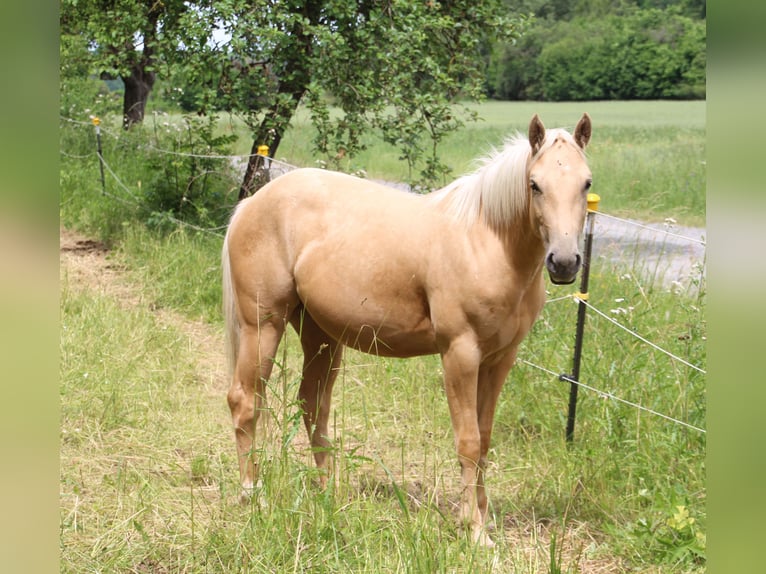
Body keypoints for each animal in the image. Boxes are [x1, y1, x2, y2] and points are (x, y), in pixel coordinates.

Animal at [222, 115, 592, 548]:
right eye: (535, 184)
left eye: (586, 183)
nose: (564, 262)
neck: (483, 242)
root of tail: (252, 203)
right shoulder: (460, 354)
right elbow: (468, 442)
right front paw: (474, 531)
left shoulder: (500, 359)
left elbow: (483, 438)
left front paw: (482, 518)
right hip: (263, 326)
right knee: (245, 400)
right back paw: (252, 494)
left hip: (320, 334)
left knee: (312, 406)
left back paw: (328, 494)